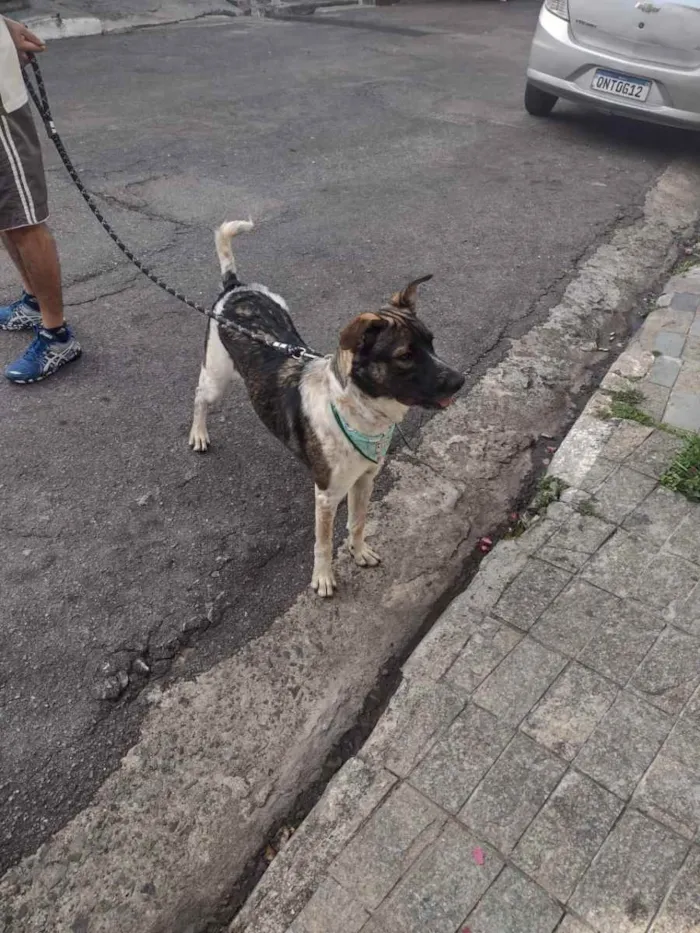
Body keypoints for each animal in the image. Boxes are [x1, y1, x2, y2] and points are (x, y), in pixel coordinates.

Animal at [191, 220, 464, 596]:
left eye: (431, 342)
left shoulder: (365, 479)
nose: (460, 380)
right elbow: (322, 543)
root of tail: (236, 287)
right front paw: (322, 578)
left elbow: (358, 522)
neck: (358, 412)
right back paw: (198, 434)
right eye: (405, 356)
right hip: (216, 375)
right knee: (199, 398)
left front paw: (359, 552)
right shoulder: (326, 495)